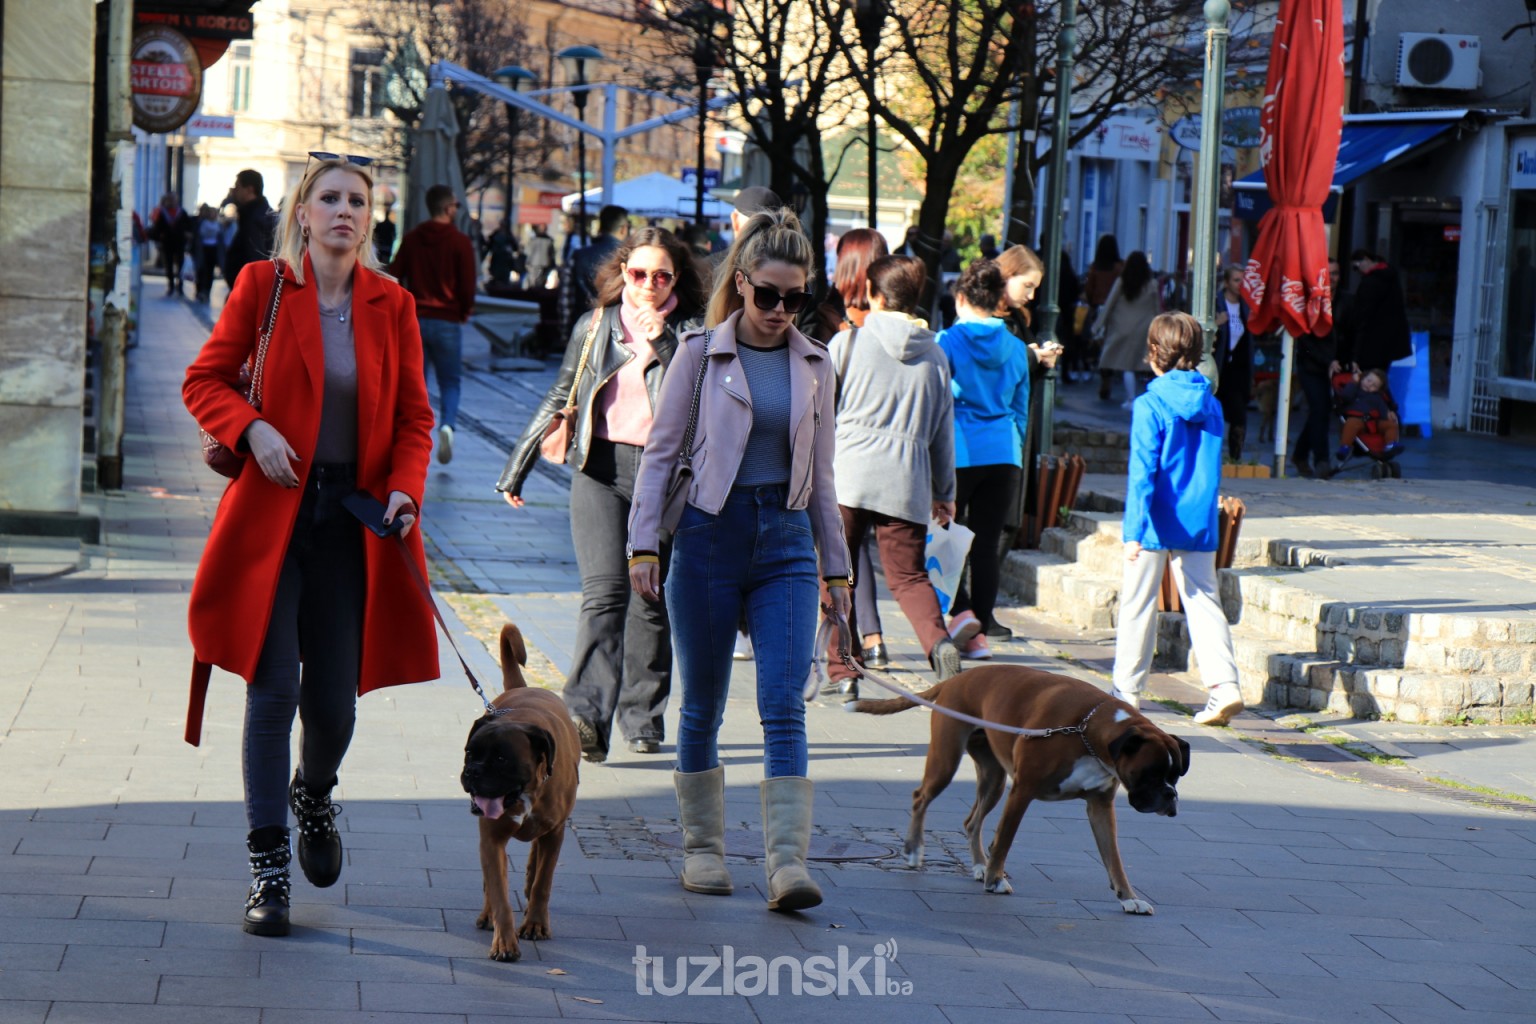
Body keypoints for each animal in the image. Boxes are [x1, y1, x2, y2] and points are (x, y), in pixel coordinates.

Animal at [460, 620, 580, 964]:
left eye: (501, 759)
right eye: (470, 753)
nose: (472, 772)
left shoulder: (555, 833)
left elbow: (543, 880)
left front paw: (536, 923)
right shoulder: (491, 840)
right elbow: (498, 891)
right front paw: (504, 940)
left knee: (536, 861)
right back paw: (488, 915)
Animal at [854, 669, 1185, 914]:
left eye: (1176, 775)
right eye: (1150, 773)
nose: (1170, 796)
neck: (1086, 730)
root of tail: (956, 678)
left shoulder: (1100, 807)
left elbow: (1113, 857)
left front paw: (1128, 897)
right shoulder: (1022, 792)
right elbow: (1004, 840)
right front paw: (995, 881)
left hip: (994, 780)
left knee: (971, 822)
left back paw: (978, 866)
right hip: (946, 761)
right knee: (920, 798)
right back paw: (914, 851)